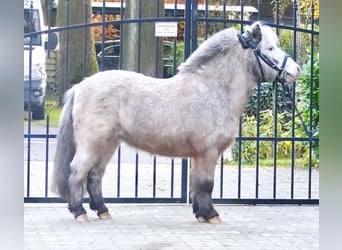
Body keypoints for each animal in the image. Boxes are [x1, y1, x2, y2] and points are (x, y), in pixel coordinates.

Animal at [52, 20, 300, 222]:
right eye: (270, 48)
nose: (295, 71)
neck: (213, 89)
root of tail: (79, 87)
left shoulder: (199, 155)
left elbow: (196, 183)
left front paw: (200, 213)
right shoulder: (208, 152)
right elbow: (206, 183)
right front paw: (211, 214)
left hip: (108, 144)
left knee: (95, 175)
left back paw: (102, 210)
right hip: (92, 144)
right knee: (77, 172)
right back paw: (79, 212)